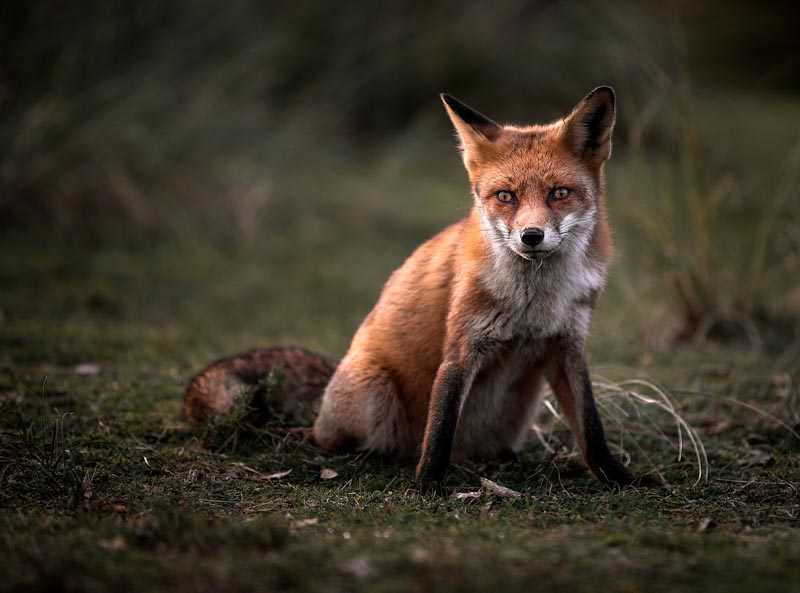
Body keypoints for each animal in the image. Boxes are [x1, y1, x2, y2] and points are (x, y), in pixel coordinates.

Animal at [184, 86, 652, 491]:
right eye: (506, 196)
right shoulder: (462, 348)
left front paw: (620, 480)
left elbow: (591, 428)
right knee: (337, 439)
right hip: (374, 395)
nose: (531, 237)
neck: (536, 303)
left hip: (524, 403)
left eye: (559, 193)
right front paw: (427, 485)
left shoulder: (568, 344)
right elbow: (440, 429)